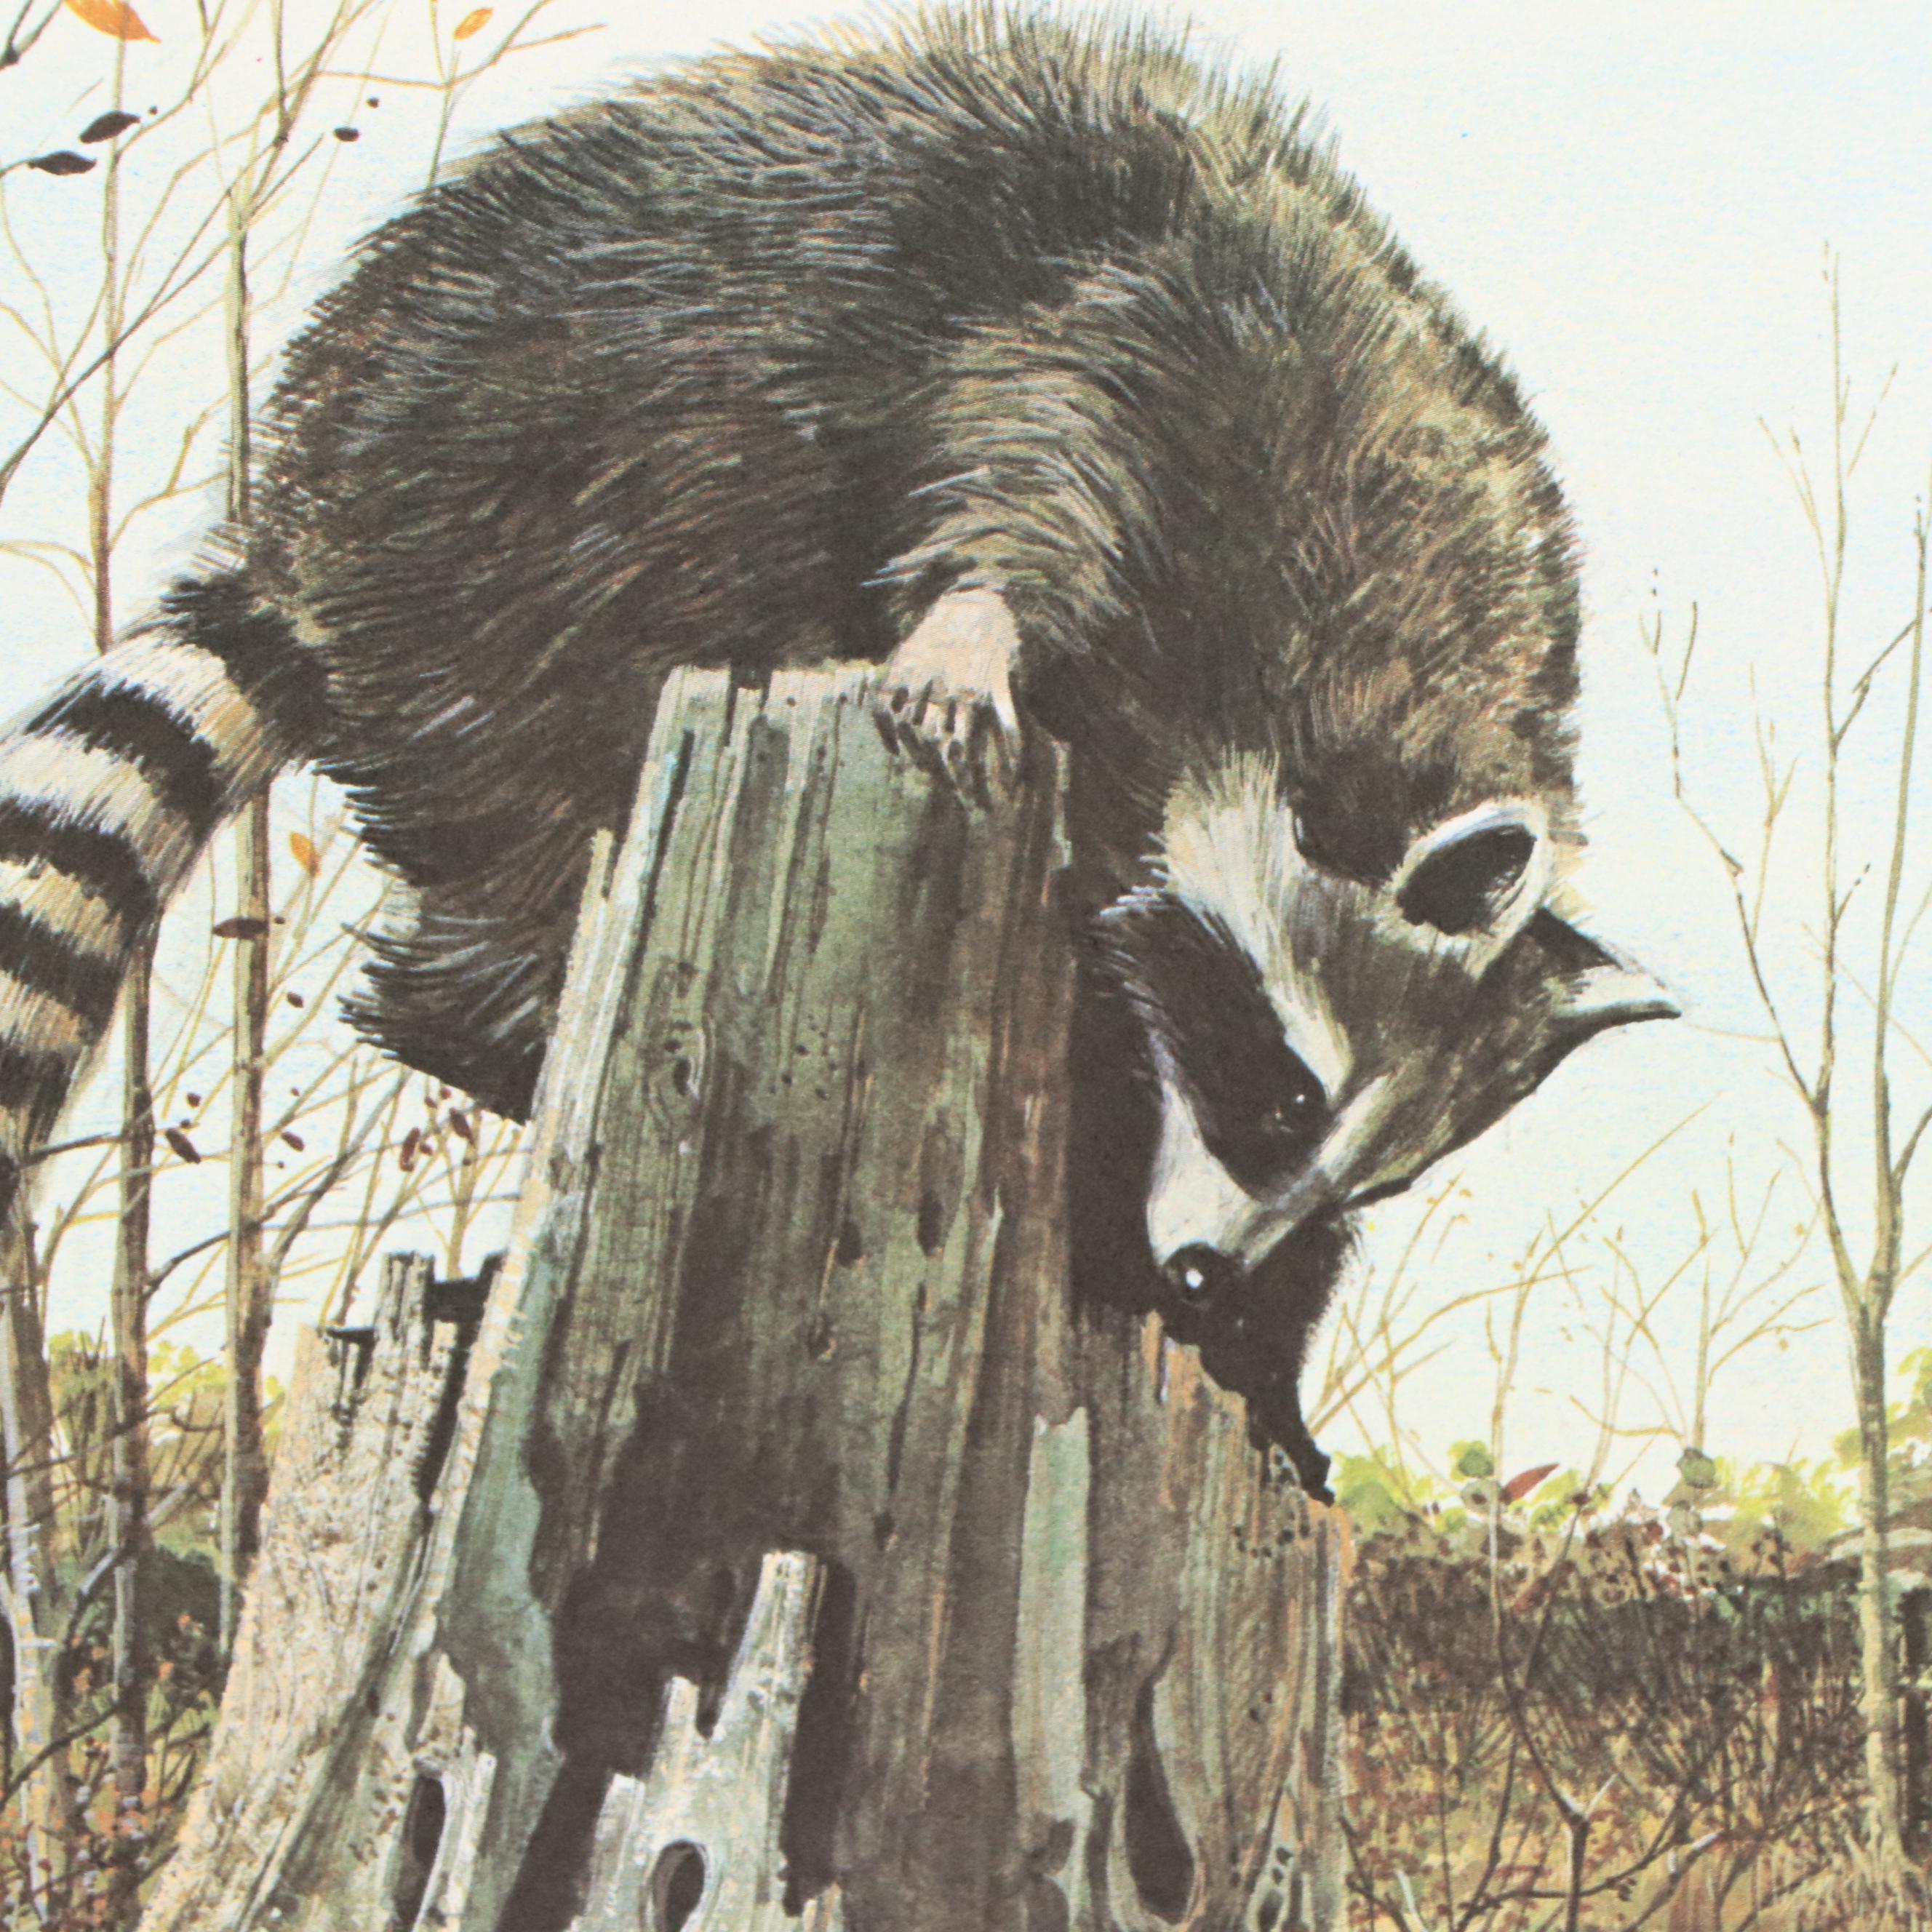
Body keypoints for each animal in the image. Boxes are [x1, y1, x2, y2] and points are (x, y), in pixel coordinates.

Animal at [0, 11, 1671, 1493]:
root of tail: (301, 506)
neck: (1368, 696)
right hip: (517, 515)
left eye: (1375, 1166)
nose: (1202, 1273)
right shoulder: (1163, 366)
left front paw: (1261, 1354)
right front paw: (974, 628)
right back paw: (501, 1031)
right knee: (525, 819)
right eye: (1279, 1098)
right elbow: (1020, 481)